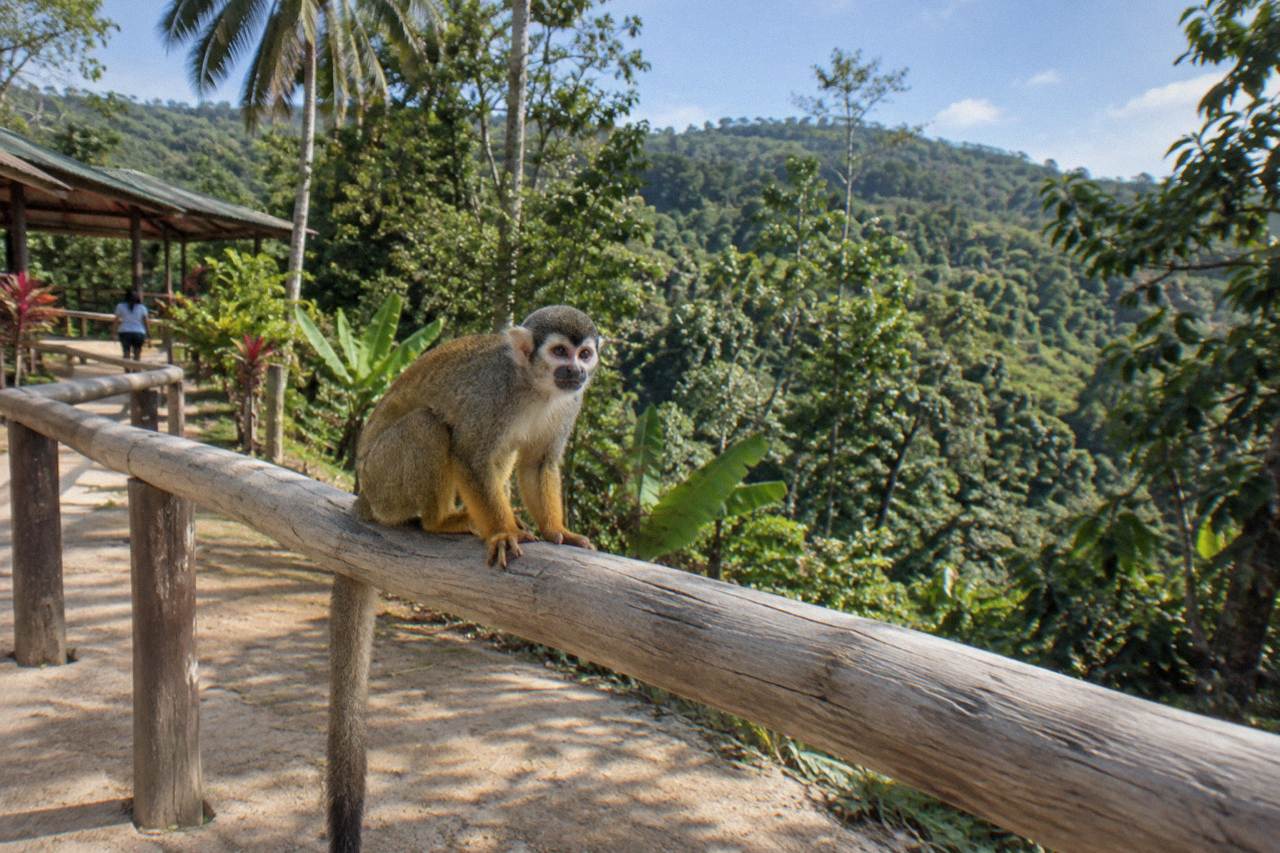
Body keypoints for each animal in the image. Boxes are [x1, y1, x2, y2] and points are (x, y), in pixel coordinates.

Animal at [326, 305, 601, 852]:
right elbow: (473, 457)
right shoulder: (490, 394)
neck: (535, 386)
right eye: (560, 351)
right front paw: (502, 532)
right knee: (433, 428)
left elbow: (538, 463)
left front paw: (556, 532)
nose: (576, 372)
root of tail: (362, 495)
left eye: (585, 354)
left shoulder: (568, 405)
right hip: (385, 477)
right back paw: (441, 522)